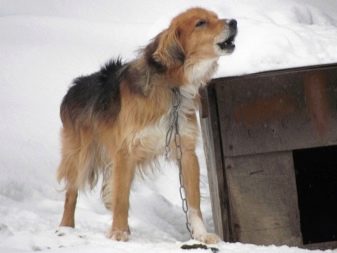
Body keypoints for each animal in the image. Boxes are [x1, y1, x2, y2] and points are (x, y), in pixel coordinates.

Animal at [56, 7, 236, 243]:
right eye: (201, 23)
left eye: (216, 17)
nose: (234, 22)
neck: (172, 86)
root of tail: (72, 89)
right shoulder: (125, 152)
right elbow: (121, 198)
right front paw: (118, 233)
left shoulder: (186, 152)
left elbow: (193, 202)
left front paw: (201, 234)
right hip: (81, 156)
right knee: (72, 192)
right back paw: (66, 227)